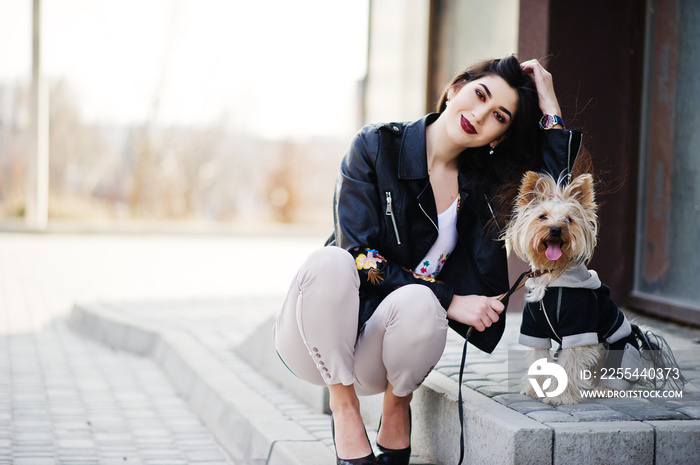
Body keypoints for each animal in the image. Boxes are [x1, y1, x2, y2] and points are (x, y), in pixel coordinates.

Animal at [504, 172, 684, 404]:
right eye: (542, 217)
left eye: (569, 220)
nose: (555, 229)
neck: (552, 276)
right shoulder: (534, 329)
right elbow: (540, 359)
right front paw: (537, 388)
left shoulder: (580, 328)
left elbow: (568, 364)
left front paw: (559, 396)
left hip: (620, 349)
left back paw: (604, 388)